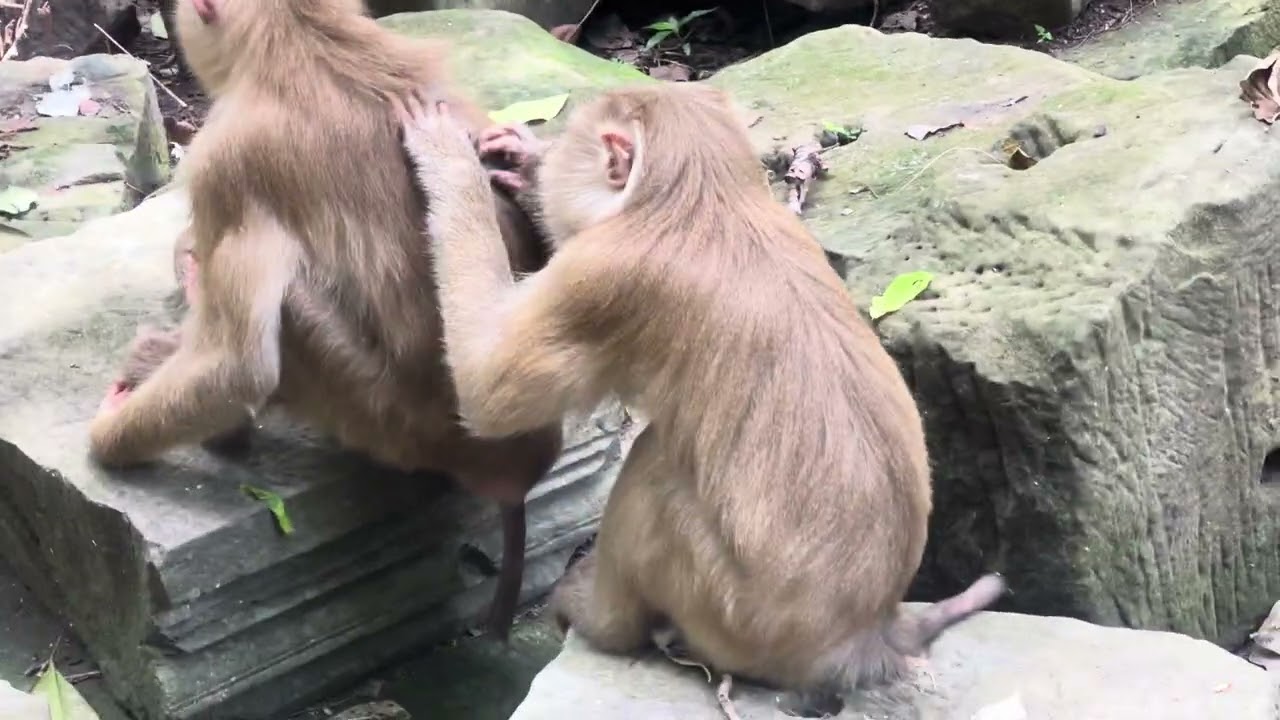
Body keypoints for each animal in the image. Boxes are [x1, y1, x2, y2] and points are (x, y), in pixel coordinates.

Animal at [87, 0, 563, 640]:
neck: (309, 41)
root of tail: (515, 467)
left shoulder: (222, 159)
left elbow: (239, 367)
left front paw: (108, 435)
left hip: (377, 417)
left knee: (280, 313)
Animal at [394, 86, 1007, 713]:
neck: (708, 195)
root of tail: (864, 634)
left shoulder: (601, 280)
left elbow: (485, 389)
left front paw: (448, 157)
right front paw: (525, 160)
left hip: (727, 610)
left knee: (655, 469)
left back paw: (603, 620)